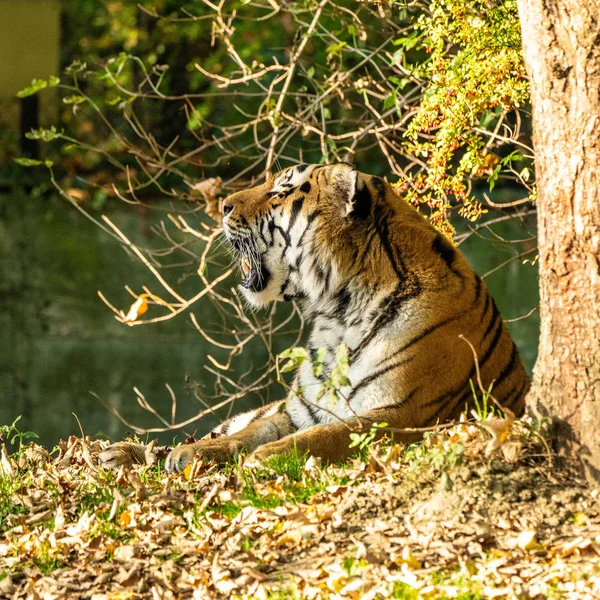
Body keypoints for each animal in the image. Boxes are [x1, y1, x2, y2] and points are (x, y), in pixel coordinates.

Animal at [98, 163, 528, 474]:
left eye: (280, 191)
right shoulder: (299, 410)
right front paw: (199, 453)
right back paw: (121, 453)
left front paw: (265, 458)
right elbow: (251, 431)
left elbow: (327, 436)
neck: (339, 313)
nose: (223, 206)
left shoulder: (402, 414)